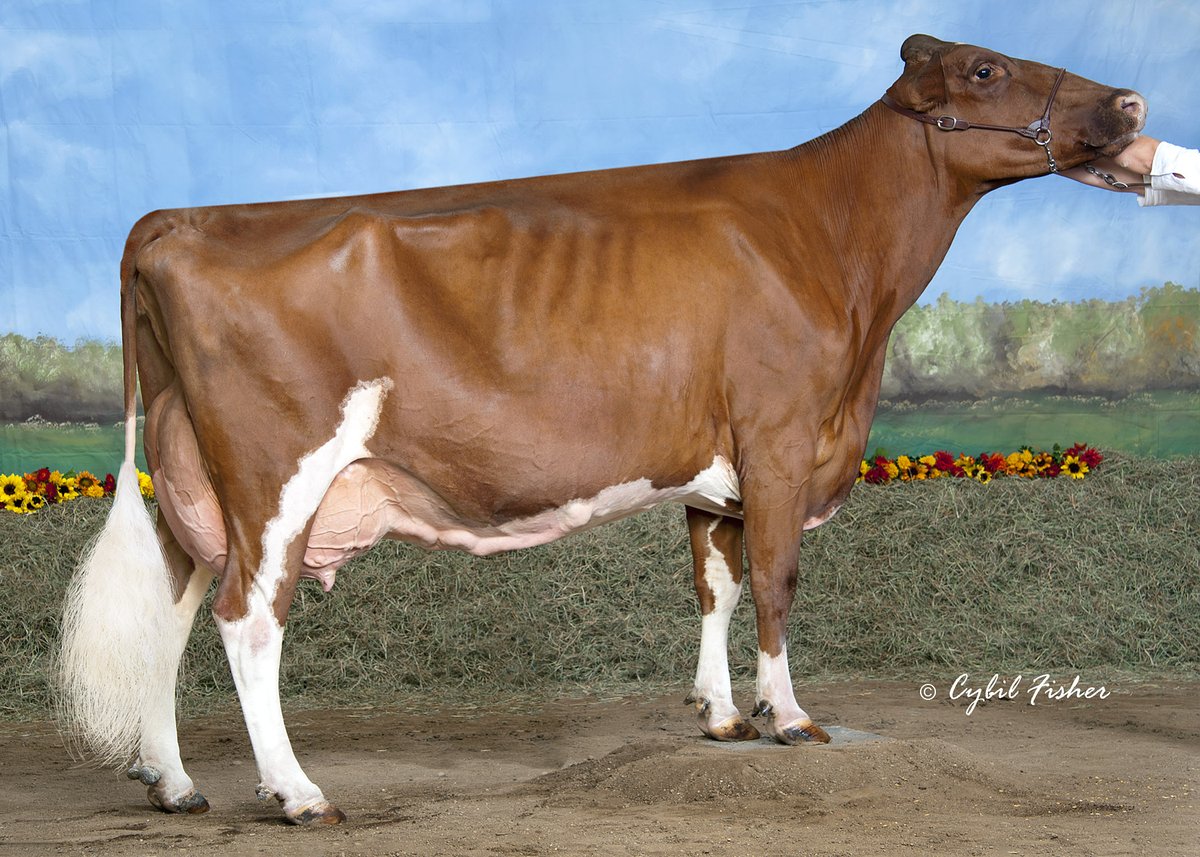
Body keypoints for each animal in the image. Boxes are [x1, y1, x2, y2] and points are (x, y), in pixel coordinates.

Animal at [58, 34, 1145, 825]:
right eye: (987, 70)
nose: (1131, 104)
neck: (834, 251)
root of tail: (178, 218)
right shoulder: (782, 435)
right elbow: (776, 580)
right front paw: (789, 716)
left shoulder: (720, 468)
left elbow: (714, 582)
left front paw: (721, 714)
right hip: (275, 474)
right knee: (248, 616)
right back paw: (296, 792)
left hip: (197, 481)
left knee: (174, 609)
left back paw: (173, 781)